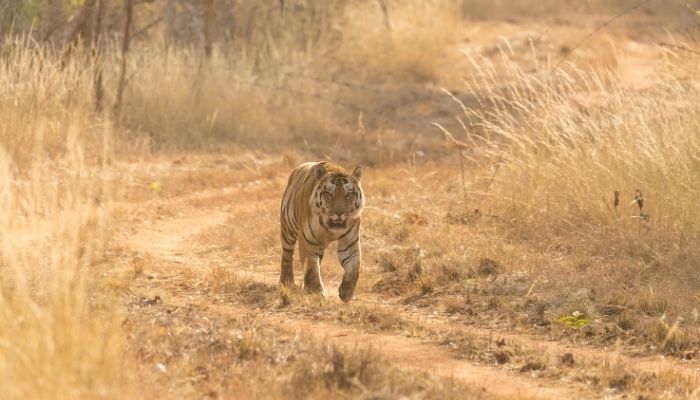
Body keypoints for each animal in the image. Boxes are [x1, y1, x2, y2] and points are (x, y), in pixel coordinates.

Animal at [278, 161, 366, 302]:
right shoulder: (307, 241)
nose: (339, 213)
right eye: (329, 194)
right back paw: (287, 283)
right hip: (288, 230)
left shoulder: (349, 243)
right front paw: (316, 293)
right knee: (287, 256)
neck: (329, 227)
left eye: (348, 195)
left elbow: (353, 269)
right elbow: (312, 268)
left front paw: (346, 292)